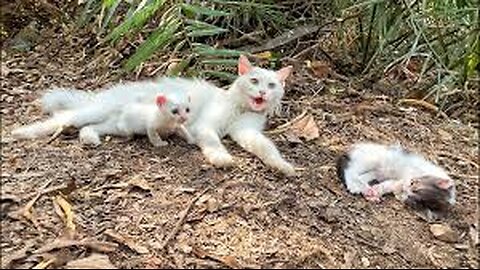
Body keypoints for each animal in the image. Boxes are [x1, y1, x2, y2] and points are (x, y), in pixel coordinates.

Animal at [12, 56, 296, 176]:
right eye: (254, 81)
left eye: (272, 85)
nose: (262, 92)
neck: (240, 107)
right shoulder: (206, 127)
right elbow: (214, 144)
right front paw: (222, 159)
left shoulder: (248, 132)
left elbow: (267, 148)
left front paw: (282, 166)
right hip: (90, 113)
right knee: (63, 118)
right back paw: (19, 133)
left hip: (117, 124)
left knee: (91, 127)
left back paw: (89, 139)